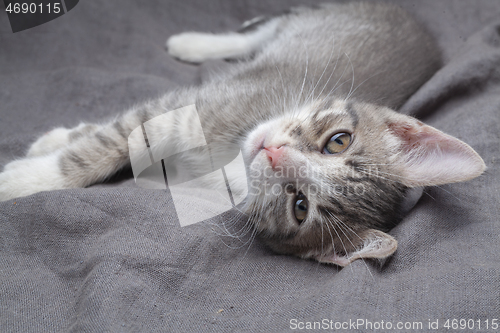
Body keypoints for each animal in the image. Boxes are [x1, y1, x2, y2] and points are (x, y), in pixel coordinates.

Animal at [0, 2, 484, 266]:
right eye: (338, 141)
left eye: (300, 205)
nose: (273, 152)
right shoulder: (188, 107)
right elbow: (107, 142)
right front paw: (30, 173)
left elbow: (115, 144)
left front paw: (32, 167)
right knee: (255, 35)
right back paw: (194, 42)